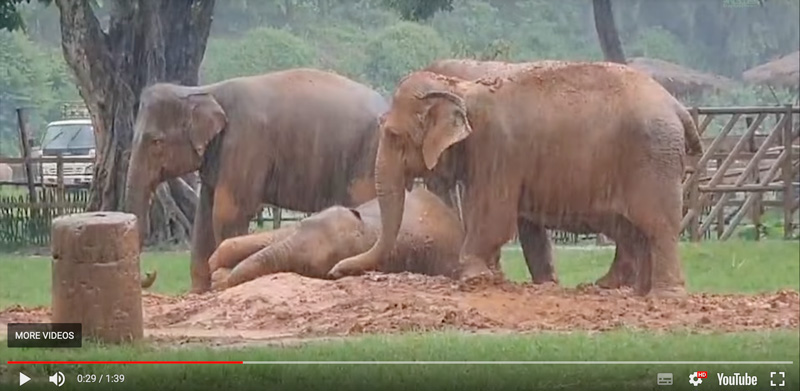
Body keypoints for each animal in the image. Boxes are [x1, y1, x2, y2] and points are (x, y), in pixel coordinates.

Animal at [332, 60, 708, 298]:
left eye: (394, 136)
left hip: (653, 160)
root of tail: (677, 107)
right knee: (632, 229)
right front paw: (541, 284)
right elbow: (528, 226)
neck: (461, 89)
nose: (336, 271)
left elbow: (493, 217)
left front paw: (471, 276)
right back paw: (625, 291)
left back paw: (664, 296)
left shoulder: (498, 151)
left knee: (656, 225)